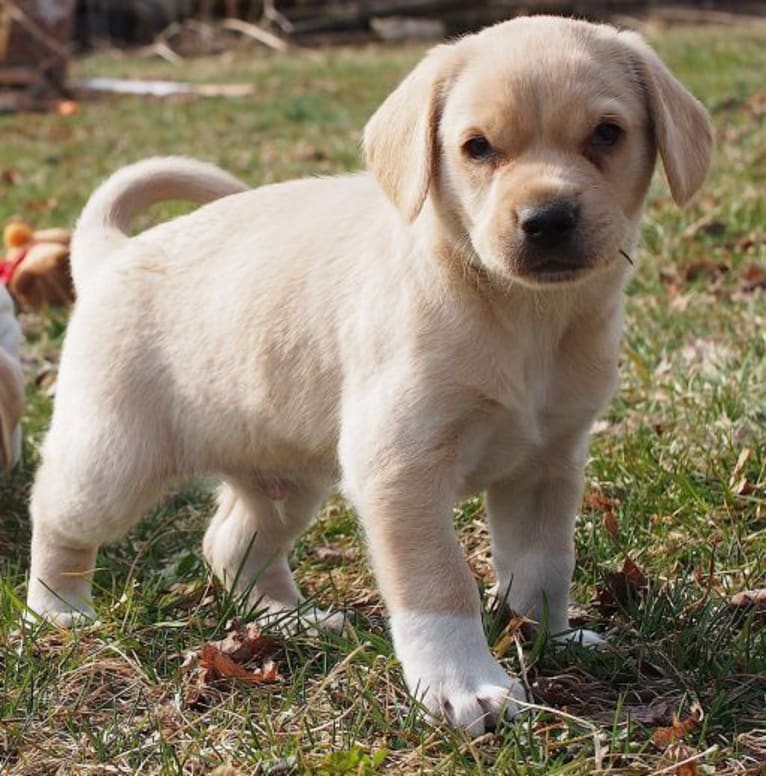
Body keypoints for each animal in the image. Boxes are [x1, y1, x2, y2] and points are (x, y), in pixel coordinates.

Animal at [28, 16, 712, 732]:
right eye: (477, 147)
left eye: (607, 134)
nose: (547, 219)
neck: (521, 314)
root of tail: (111, 254)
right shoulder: (400, 470)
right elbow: (440, 584)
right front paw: (463, 685)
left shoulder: (546, 465)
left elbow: (544, 566)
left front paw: (548, 636)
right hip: (112, 464)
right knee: (55, 516)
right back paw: (59, 611)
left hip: (284, 481)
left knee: (231, 544)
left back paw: (291, 620)